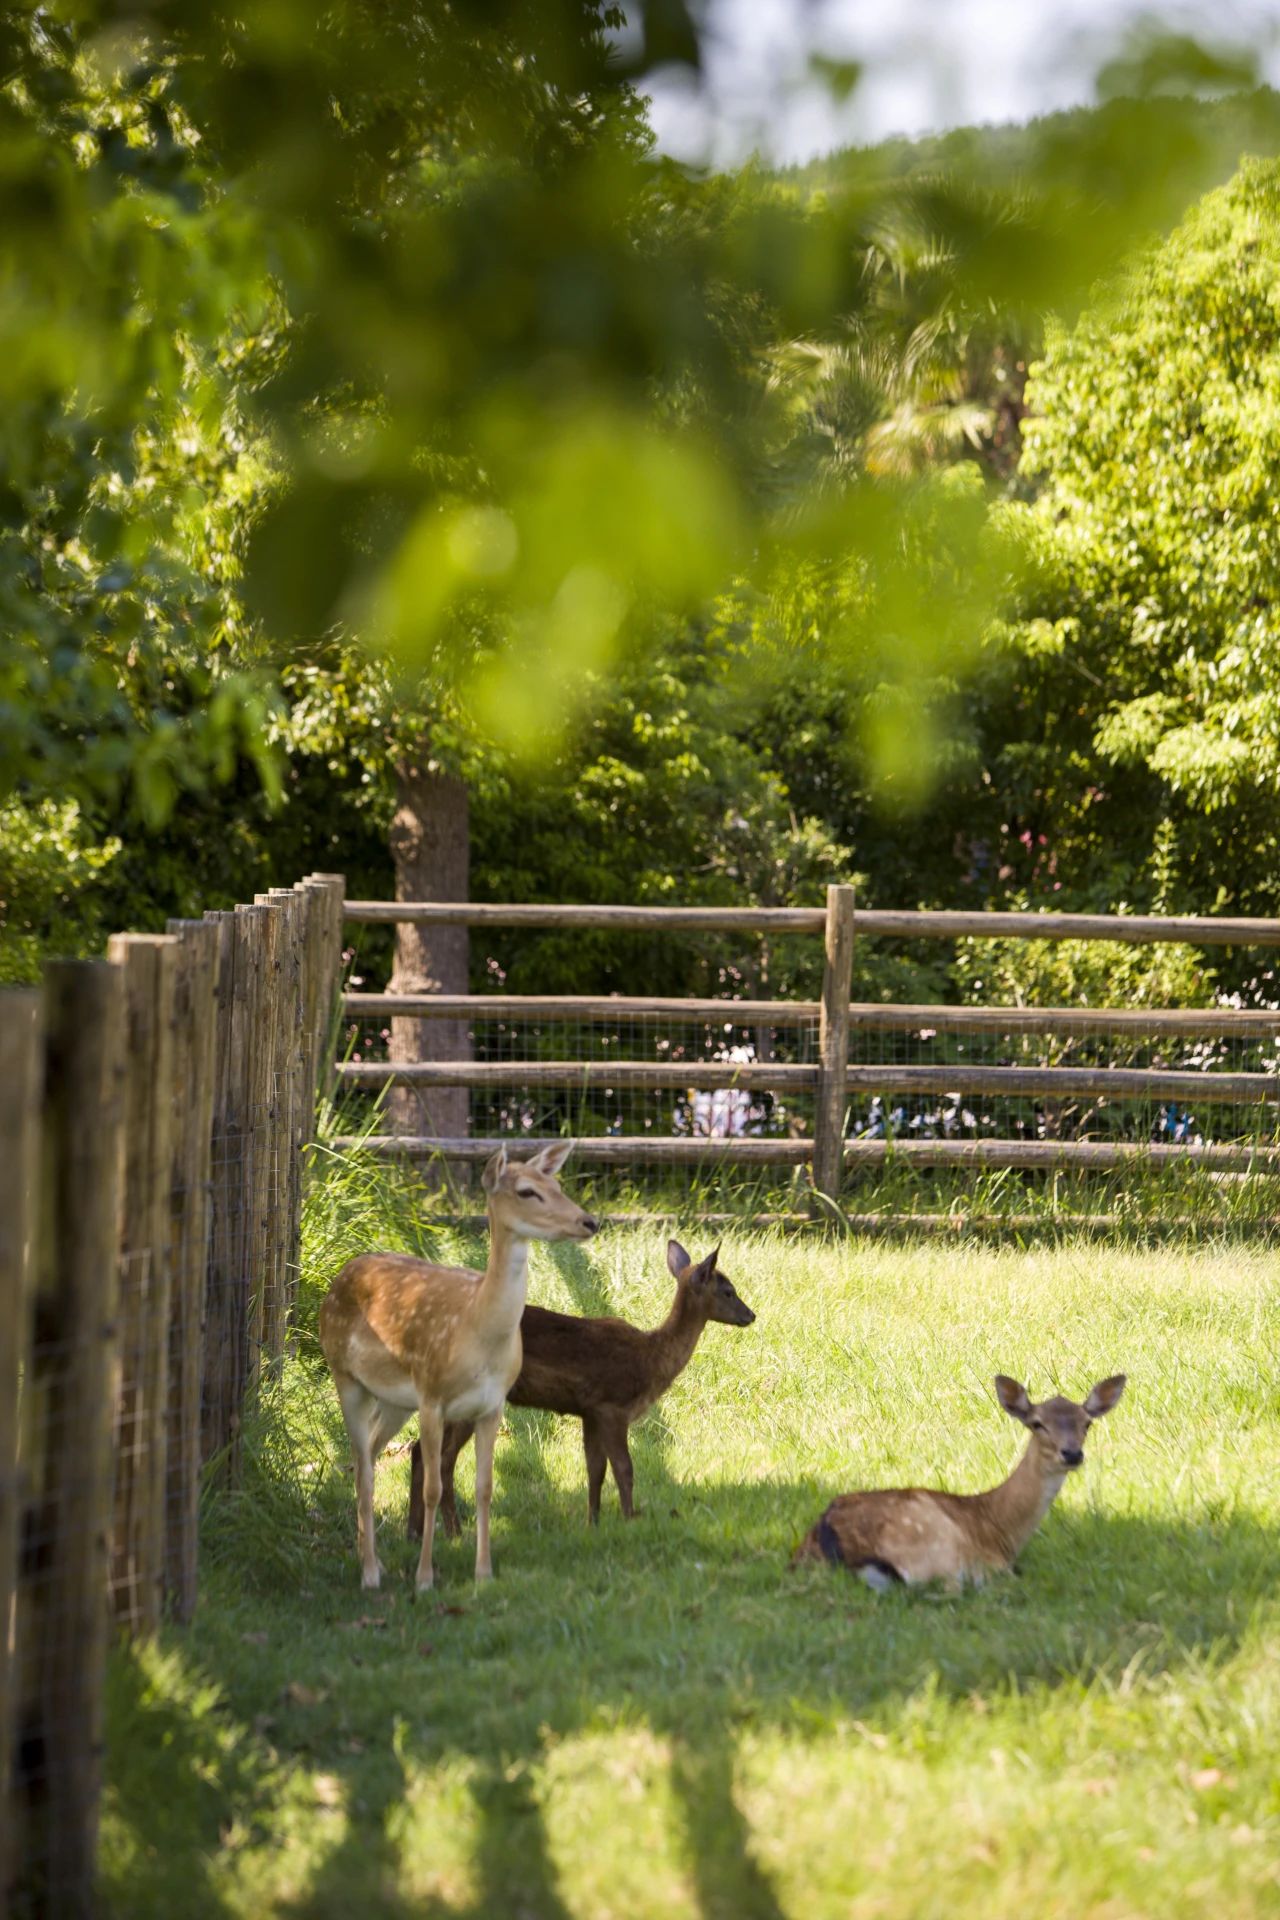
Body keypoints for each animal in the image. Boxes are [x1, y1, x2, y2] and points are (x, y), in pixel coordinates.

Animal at [320, 1136, 602, 1589]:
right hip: (345, 1375)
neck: (477, 1333)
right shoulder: (432, 1396)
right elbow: (433, 1487)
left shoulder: (493, 1405)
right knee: (362, 1465)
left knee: (372, 1456)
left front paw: (483, 1573)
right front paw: (424, 1578)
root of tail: (343, 1272)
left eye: (556, 1184)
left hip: (395, 1401)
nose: (589, 1222)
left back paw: (375, 1561)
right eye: (527, 1191)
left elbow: (485, 1487)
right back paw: (369, 1574)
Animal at [404, 1236, 756, 1536]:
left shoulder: (589, 1411)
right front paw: (630, 1519)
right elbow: (624, 1468)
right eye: (728, 1291)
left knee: (421, 1450)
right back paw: (453, 1532)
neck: (650, 1359)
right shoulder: (612, 1405)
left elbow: (595, 1470)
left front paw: (593, 1523)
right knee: (443, 1460)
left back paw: (415, 1532)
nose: (750, 1315)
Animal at [794, 1382, 1128, 1589]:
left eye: (1087, 1423)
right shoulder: (992, 1563)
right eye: (1037, 1423)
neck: (1000, 1529)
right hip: (933, 1552)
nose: (1072, 1453)